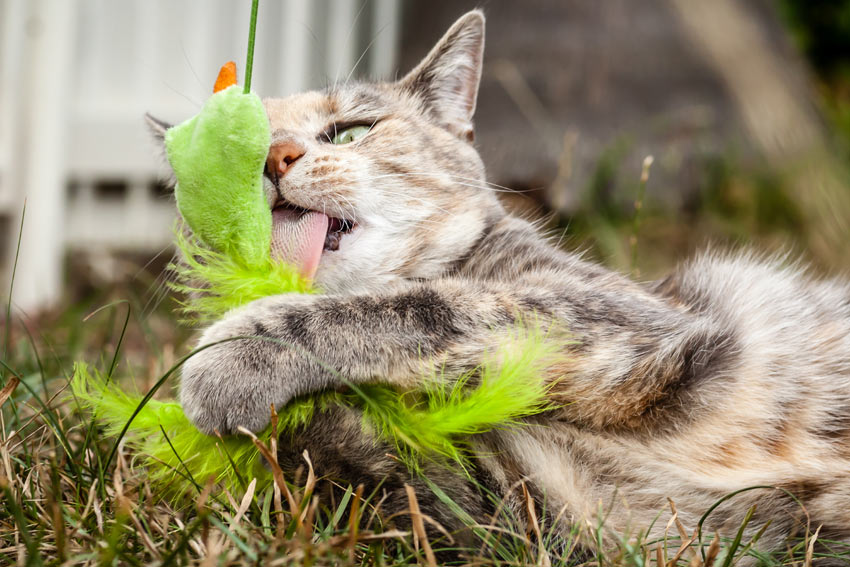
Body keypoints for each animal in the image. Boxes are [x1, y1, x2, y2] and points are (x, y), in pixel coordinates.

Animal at [149, 10, 848, 564]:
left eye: (350, 131)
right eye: (227, 156)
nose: (274, 158)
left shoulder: (627, 316)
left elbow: (424, 308)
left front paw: (229, 357)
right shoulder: (531, 509)